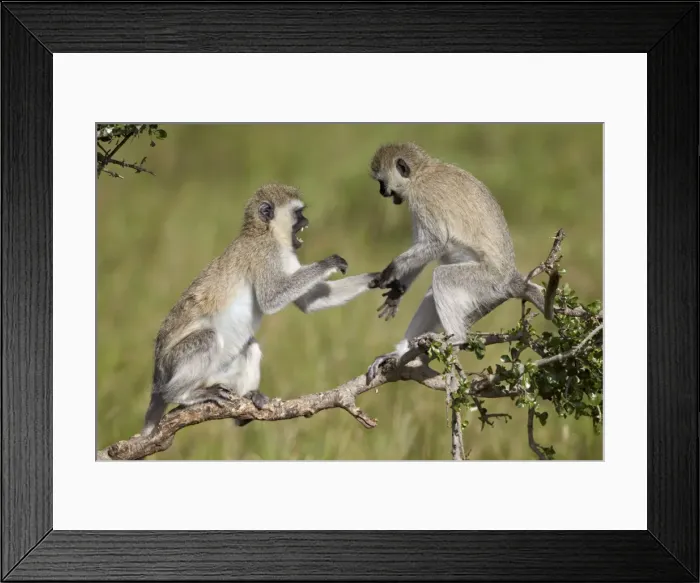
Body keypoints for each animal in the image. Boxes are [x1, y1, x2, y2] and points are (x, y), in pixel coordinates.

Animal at [141, 183, 380, 436]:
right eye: (298, 213)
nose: (307, 220)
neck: (264, 232)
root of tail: (158, 377)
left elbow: (308, 301)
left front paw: (378, 277)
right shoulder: (266, 253)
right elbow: (271, 299)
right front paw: (329, 262)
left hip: (217, 375)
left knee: (251, 346)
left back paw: (247, 401)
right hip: (174, 363)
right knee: (207, 338)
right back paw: (180, 394)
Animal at [364, 142, 550, 383]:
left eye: (381, 182)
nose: (381, 191)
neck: (422, 172)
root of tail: (510, 278)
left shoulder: (424, 198)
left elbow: (436, 242)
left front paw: (391, 270)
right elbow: (424, 248)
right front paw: (397, 292)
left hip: (486, 281)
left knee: (441, 277)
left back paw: (456, 339)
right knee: (432, 292)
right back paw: (400, 353)